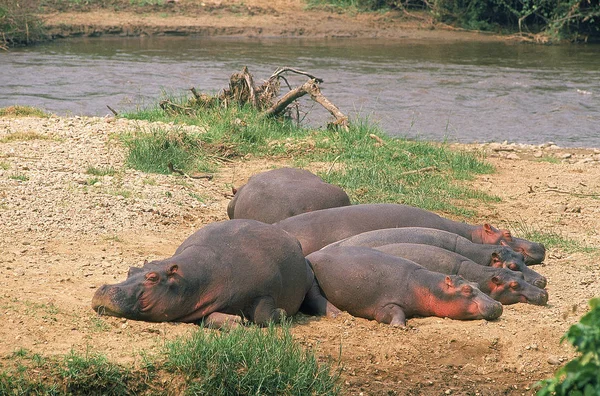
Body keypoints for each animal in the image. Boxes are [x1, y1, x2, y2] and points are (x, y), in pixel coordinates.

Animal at [92, 220, 314, 328]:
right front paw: (237, 322)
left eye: (153, 277)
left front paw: (281, 313)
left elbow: (263, 315)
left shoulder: (265, 290)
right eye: (131, 269)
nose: (105, 288)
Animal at [304, 246, 502, 326]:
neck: (428, 286)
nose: (498, 305)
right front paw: (399, 327)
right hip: (314, 283)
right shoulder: (385, 305)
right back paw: (340, 315)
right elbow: (395, 312)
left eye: (476, 284)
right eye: (467, 290)